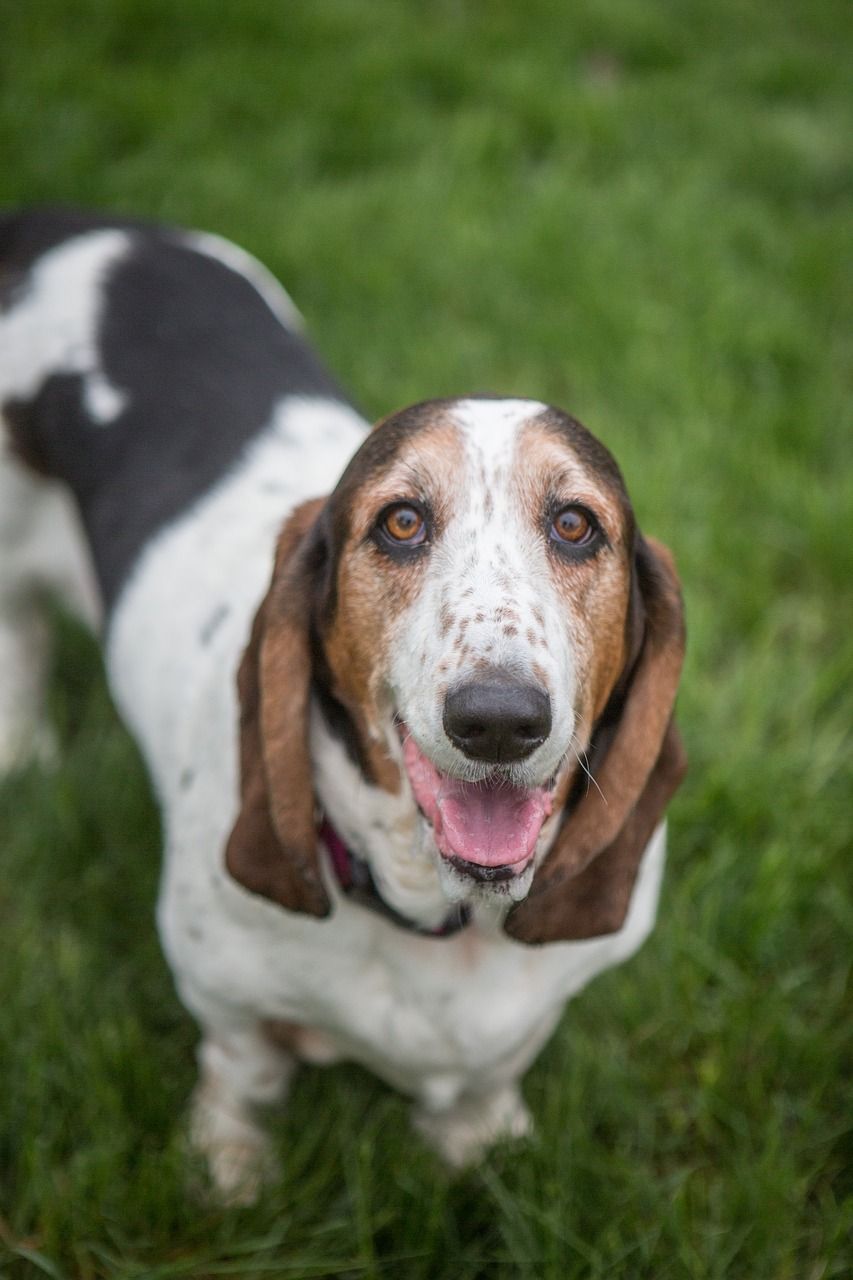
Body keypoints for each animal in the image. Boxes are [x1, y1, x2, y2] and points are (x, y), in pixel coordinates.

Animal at [0, 209, 681, 1198]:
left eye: (574, 524)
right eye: (400, 522)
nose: (499, 719)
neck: (433, 917)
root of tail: (70, 223)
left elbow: (491, 1077)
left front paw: (479, 1146)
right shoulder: (225, 998)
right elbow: (244, 1076)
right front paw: (230, 1178)